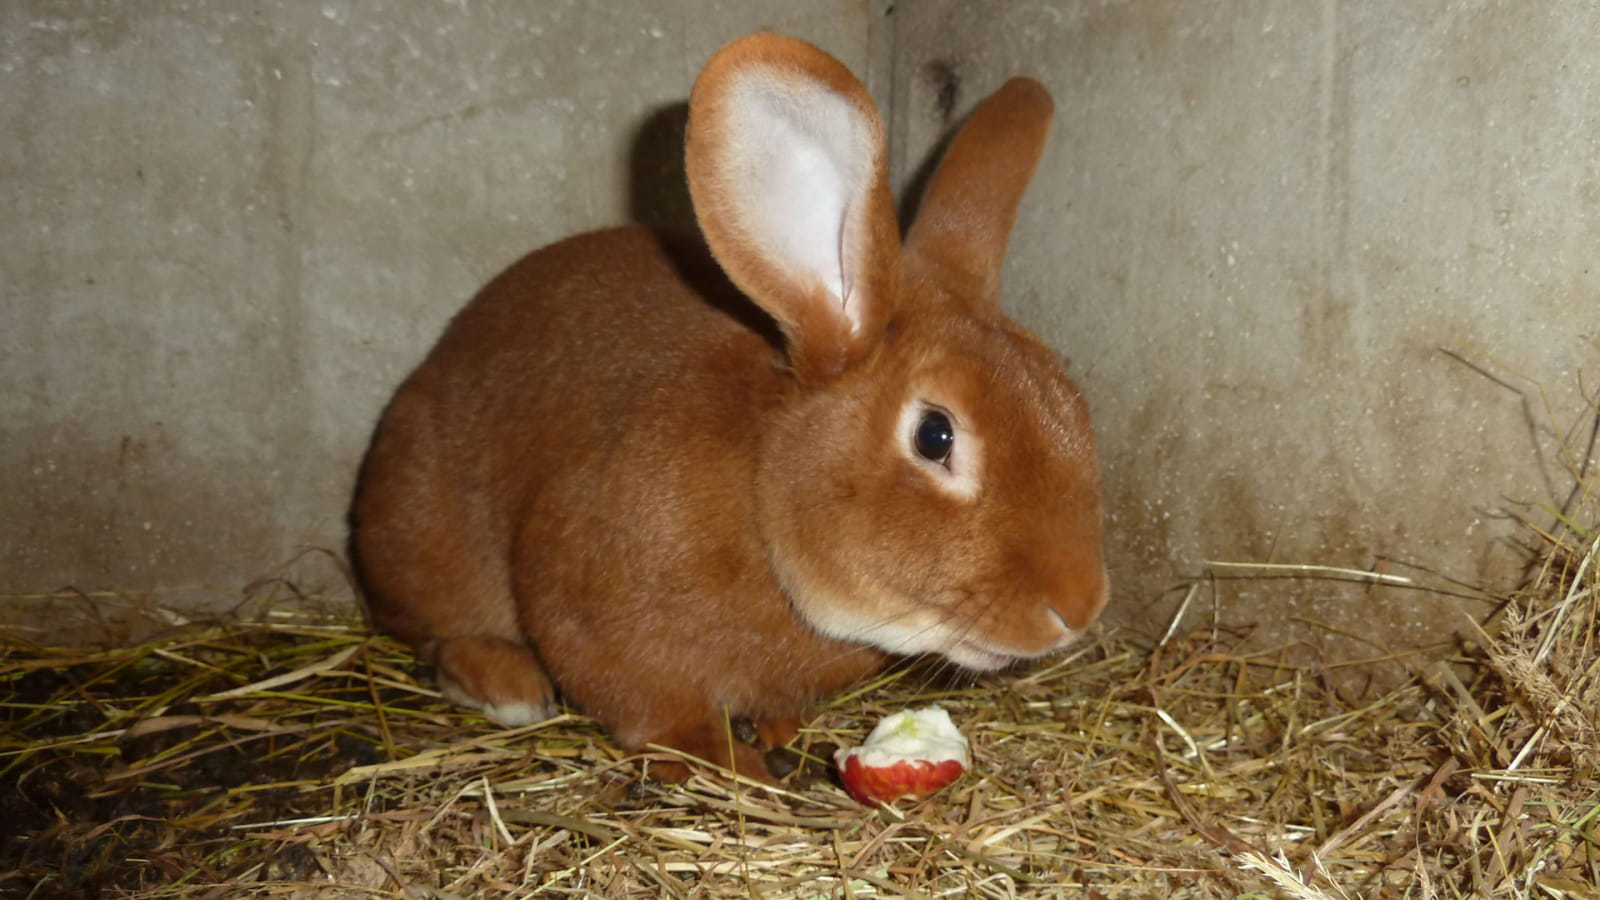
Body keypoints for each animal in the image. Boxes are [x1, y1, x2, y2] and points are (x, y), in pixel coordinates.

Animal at [350, 33, 1107, 778]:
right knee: (432, 632)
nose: (1078, 605)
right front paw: (723, 758)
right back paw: (507, 684)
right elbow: (648, 710)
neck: (761, 495)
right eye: (934, 436)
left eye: (1070, 398)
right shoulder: (579, 599)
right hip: (424, 538)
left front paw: (776, 727)